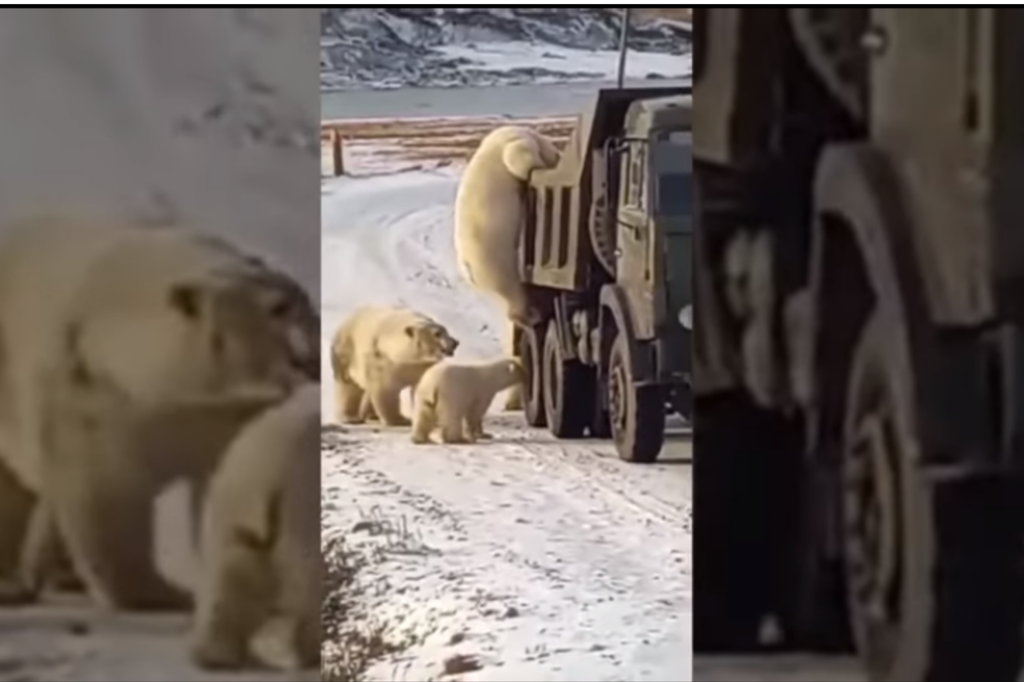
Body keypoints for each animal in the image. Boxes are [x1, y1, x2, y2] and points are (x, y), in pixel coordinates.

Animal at [0, 214, 319, 611]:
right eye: (278, 308)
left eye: (305, 303)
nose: (314, 359)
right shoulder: (96, 388)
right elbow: (105, 488)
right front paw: (166, 593)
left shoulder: (224, 415)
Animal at [330, 305, 458, 427]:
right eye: (437, 334)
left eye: (446, 330)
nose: (455, 342)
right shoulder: (382, 360)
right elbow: (385, 390)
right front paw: (401, 420)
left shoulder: (421, 366)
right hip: (346, 353)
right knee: (348, 386)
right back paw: (351, 418)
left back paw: (372, 416)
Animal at [453, 125, 561, 327]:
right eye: (556, 152)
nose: (559, 155)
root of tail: (468, 268)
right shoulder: (510, 143)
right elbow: (518, 159)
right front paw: (539, 164)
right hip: (490, 259)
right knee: (510, 288)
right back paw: (531, 316)